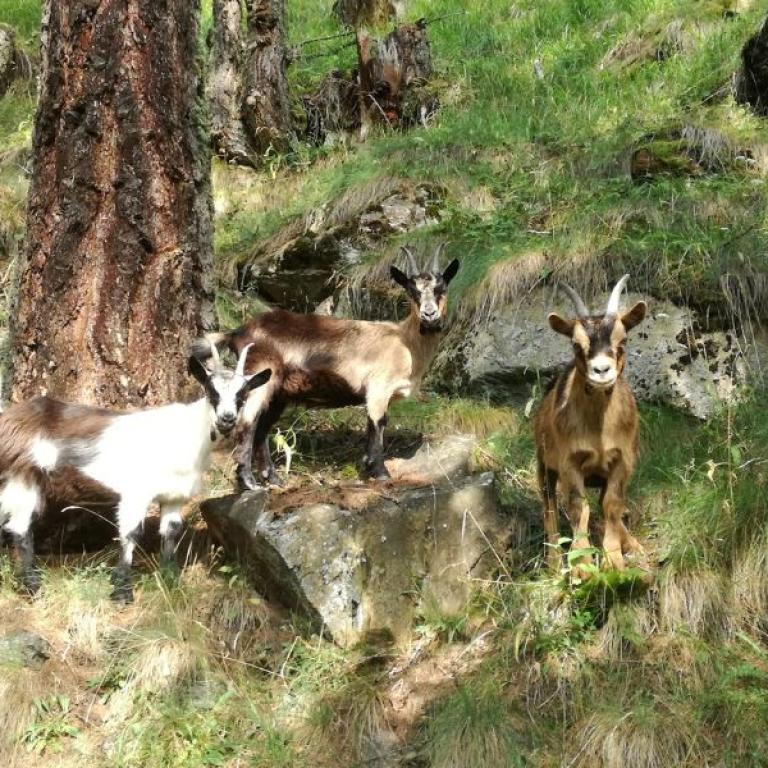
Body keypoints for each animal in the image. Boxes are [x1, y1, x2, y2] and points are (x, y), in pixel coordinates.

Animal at [0, 344, 272, 604]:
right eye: (211, 390)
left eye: (242, 394)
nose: (227, 419)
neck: (187, 433)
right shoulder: (136, 493)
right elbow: (132, 533)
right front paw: (122, 592)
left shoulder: (174, 497)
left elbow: (171, 532)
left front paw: (171, 582)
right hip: (22, 478)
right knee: (20, 528)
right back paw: (33, 588)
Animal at [195, 243, 460, 488]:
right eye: (412, 291)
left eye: (441, 288)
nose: (429, 315)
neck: (405, 342)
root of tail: (237, 332)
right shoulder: (378, 389)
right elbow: (378, 424)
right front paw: (380, 472)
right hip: (258, 378)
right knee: (246, 424)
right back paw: (248, 482)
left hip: (278, 393)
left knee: (261, 429)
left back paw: (274, 479)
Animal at [536, 274, 648, 568]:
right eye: (576, 345)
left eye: (623, 341)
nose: (601, 370)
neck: (599, 431)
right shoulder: (570, 463)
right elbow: (579, 507)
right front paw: (583, 566)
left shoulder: (622, 461)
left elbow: (611, 505)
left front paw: (614, 560)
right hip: (543, 463)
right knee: (549, 507)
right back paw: (554, 563)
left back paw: (632, 544)